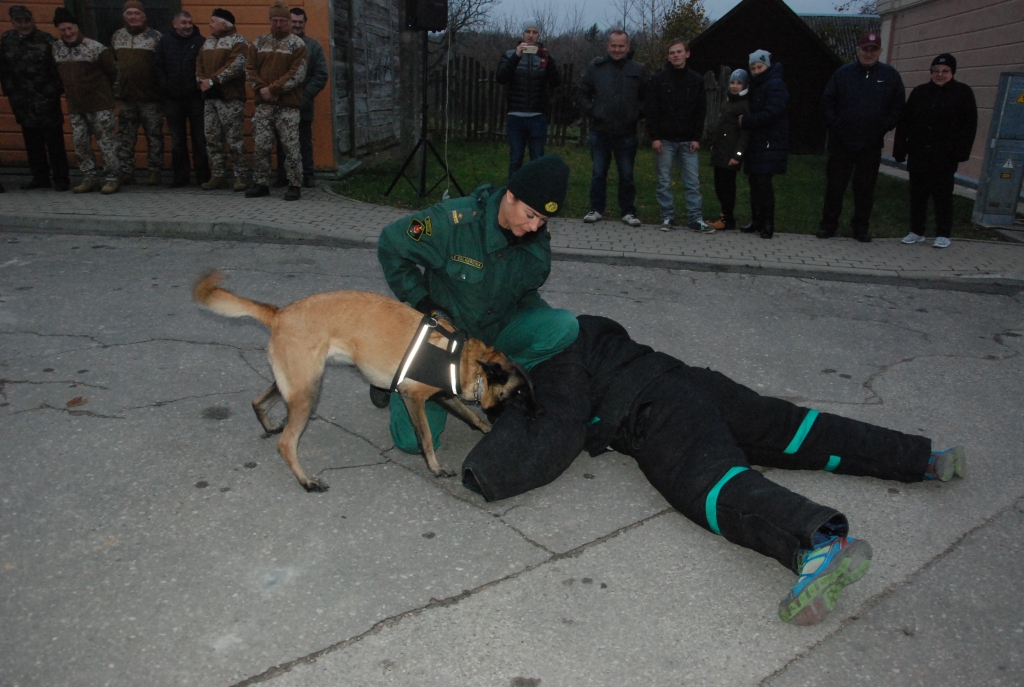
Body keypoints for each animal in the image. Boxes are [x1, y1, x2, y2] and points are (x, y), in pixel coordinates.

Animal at [191, 272, 536, 491]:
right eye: (520, 392)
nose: (539, 414)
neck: (463, 359)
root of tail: (279, 313)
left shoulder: (443, 395)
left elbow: (472, 416)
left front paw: (488, 429)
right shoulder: (413, 396)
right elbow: (425, 437)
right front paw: (435, 467)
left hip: (296, 383)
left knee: (257, 401)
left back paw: (268, 424)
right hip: (308, 393)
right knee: (286, 444)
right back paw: (306, 481)